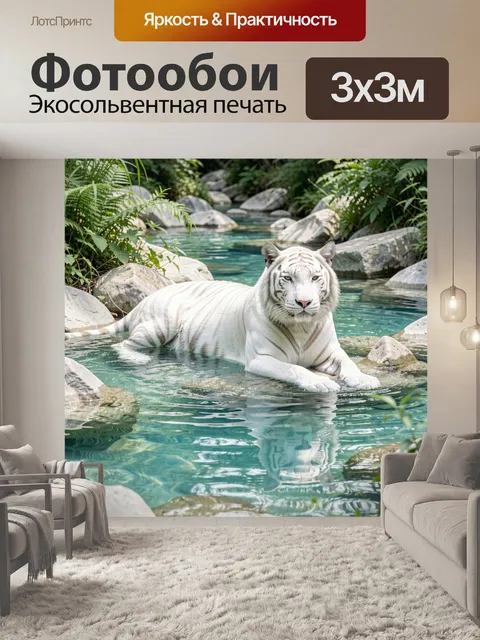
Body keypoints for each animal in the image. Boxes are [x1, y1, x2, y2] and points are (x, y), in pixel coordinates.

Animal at [68, 242, 381, 393]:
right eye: (288, 278)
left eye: (315, 277)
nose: (304, 302)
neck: (301, 327)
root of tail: (145, 300)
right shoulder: (261, 359)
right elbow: (296, 369)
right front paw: (320, 383)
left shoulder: (331, 352)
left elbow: (349, 363)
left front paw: (365, 380)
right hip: (160, 324)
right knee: (122, 345)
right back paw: (140, 359)